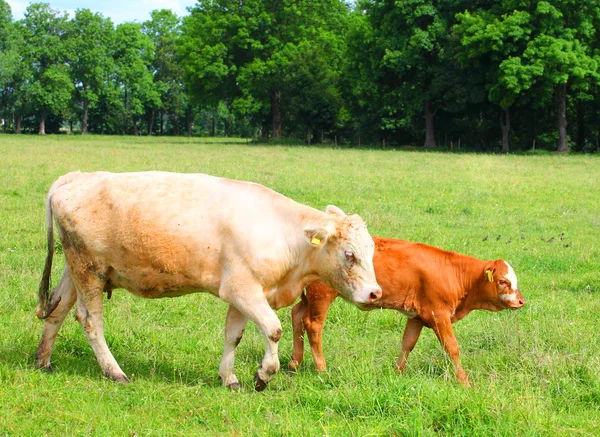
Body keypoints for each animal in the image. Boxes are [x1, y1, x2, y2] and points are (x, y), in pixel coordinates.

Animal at [34, 170, 380, 388]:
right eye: (349, 254)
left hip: (76, 270)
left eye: (372, 249)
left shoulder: (243, 294)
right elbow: (273, 330)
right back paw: (114, 371)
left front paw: (229, 378)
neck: (283, 233)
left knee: (56, 309)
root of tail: (79, 176)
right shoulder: (243, 290)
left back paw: (42, 361)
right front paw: (263, 375)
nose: (375, 293)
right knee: (90, 321)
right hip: (88, 270)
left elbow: (233, 336)